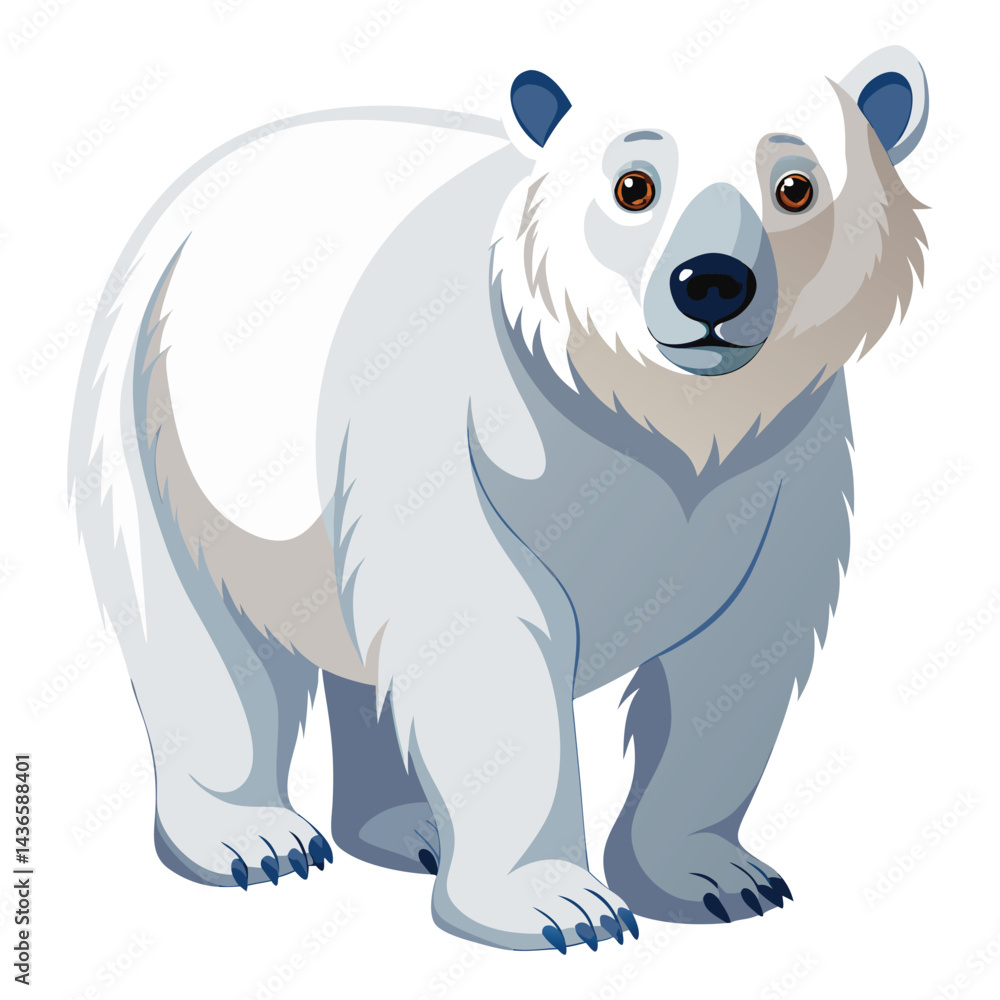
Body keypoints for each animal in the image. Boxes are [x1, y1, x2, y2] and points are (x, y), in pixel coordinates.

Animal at [70, 45, 929, 953]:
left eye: (796, 184)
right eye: (634, 185)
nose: (710, 282)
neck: (657, 408)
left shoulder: (783, 470)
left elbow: (736, 657)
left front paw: (717, 877)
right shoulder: (457, 432)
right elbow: (481, 635)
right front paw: (563, 907)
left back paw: (404, 827)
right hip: (150, 409)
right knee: (196, 626)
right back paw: (257, 838)